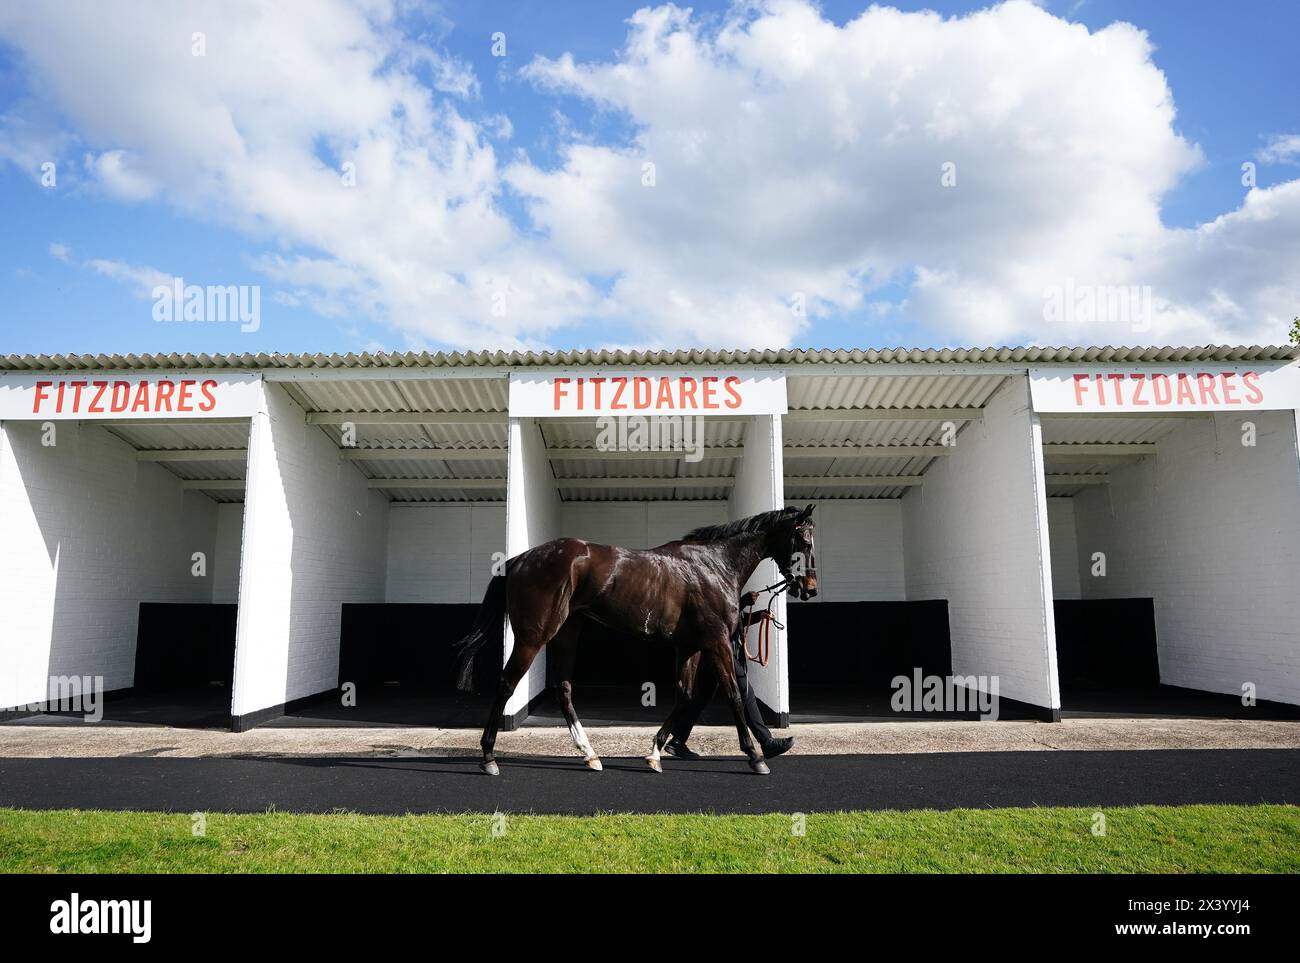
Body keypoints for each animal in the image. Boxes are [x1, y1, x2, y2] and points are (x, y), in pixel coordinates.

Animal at [449, 504, 811, 774]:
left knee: (562, 687)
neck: (713, 566)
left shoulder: (690, 645)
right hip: (534, 635)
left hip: (567, 630)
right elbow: (734, 693)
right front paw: (756, 756)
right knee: (508, 682)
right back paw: (489, 758)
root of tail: (519, 560)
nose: (809, 588)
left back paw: (590, 754)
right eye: (805, 543)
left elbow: (685, 694)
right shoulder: (717, 640)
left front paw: (655, 753)